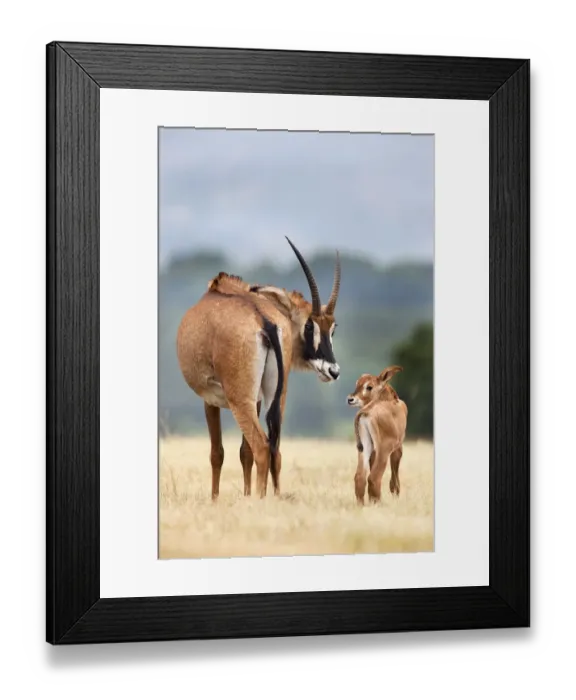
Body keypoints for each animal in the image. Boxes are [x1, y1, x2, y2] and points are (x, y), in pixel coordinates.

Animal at [176, 237, 341, 500]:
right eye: (310, 325)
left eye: (332, 328)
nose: (332, 370)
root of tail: (265, 321)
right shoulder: (258, 399)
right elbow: (245, 453)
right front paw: (245, 495)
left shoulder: (210, 399)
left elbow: (218, 453)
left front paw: (215, 500)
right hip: (277, 396)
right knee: (275, 449)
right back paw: (271, 497)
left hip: (239, 399)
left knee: (262, 447)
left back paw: (260, 499)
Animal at [346, 366, 408, 505]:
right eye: (357, 384)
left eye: (369, 386)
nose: (350, 399)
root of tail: (366, 411)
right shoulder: (398, 448)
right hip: (384, 449)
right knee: (374, 477)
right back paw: (378, 504)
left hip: (365, 448)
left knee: (360, 477)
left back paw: (363, 505)